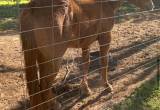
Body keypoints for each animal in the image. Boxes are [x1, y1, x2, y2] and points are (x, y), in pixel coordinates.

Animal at [20, 0, 154, 109]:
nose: (152, 5)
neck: (105, 3)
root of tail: (33, 7)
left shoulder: (86, 43)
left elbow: (86, 64)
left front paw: (85, 89)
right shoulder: (105, 38)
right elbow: (103, 62)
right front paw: (106, 86)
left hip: (42, 56)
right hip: (54, 59)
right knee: (44, 84)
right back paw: (55, 104)